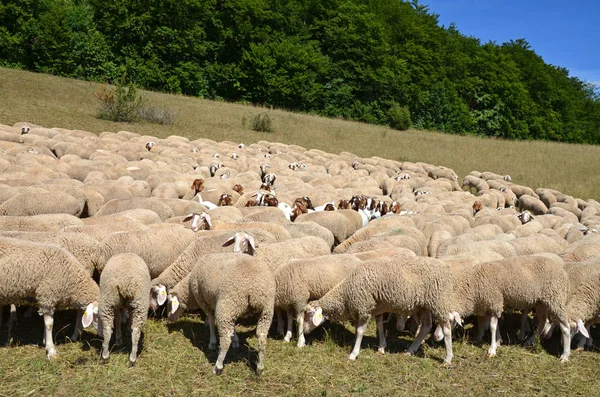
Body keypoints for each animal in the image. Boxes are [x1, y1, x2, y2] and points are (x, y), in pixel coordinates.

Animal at [302, 255, 458, 364]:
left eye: (309, 314)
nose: (303, 331)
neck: (346, 292)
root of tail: (446, 268)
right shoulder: (377, 308)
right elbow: (379, 326)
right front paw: (381, 348)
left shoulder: (364, 307)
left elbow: (360, 331)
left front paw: (354, 354)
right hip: (425, 305)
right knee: (426, 327)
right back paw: (410, 350)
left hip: (439, 301)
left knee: (446, 329)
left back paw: (448, 358)